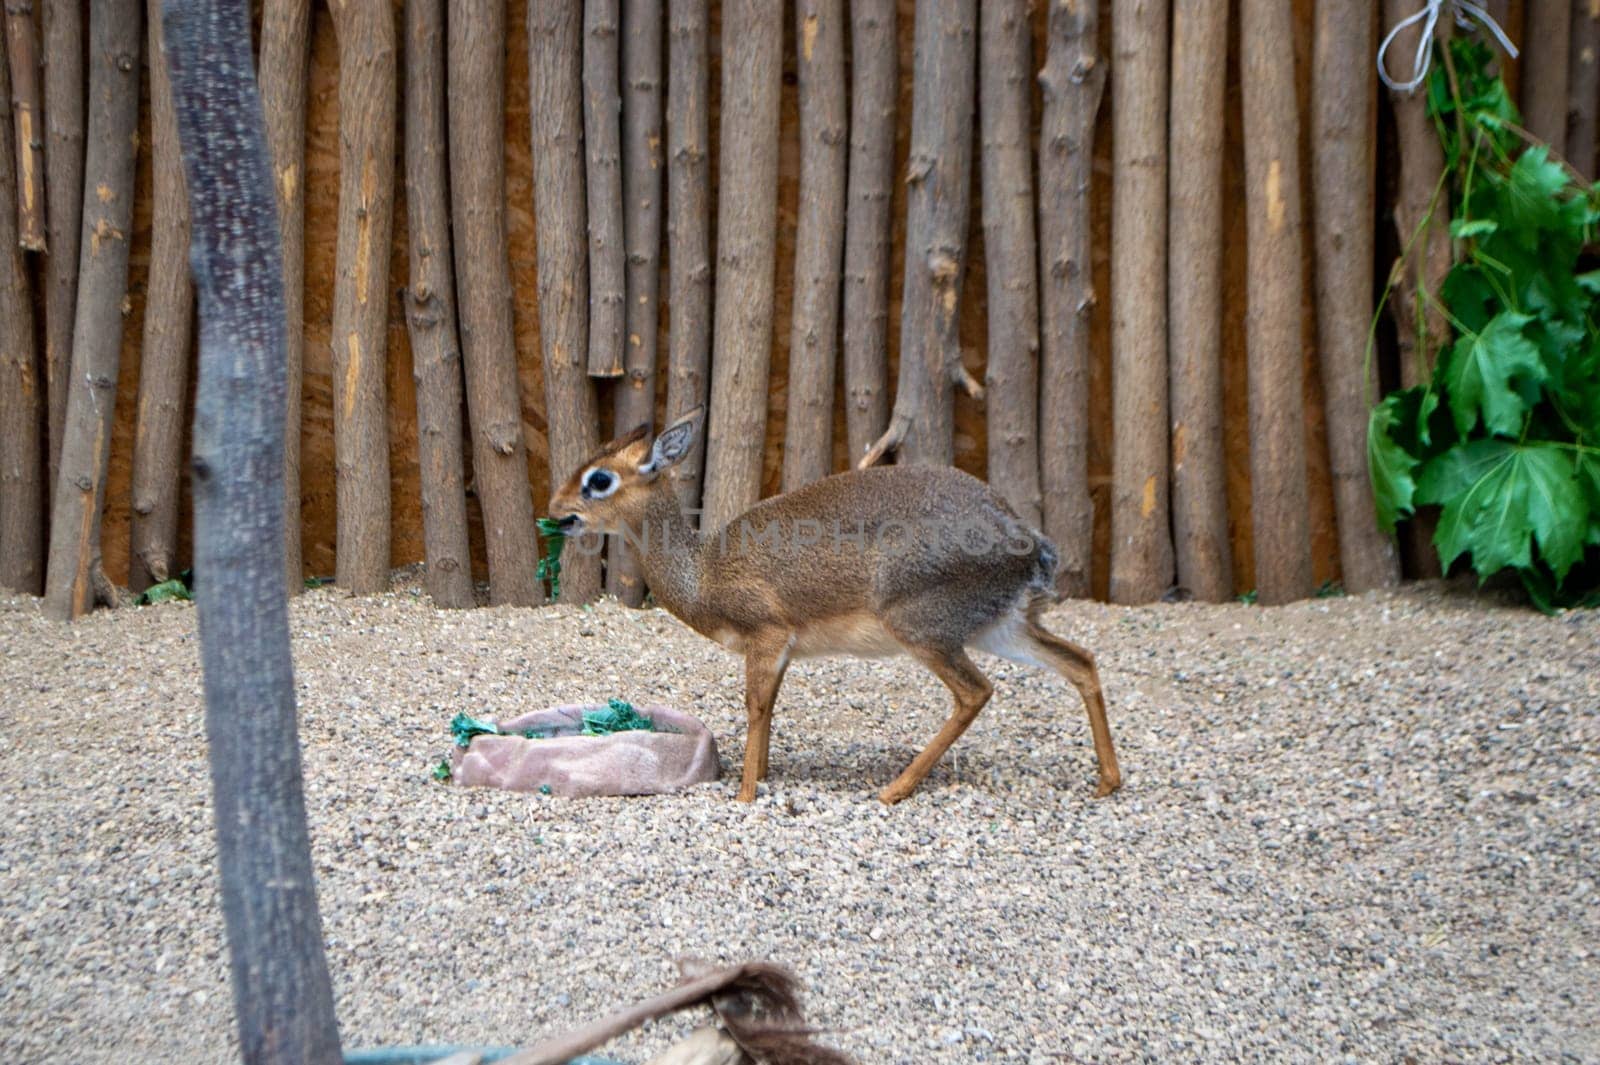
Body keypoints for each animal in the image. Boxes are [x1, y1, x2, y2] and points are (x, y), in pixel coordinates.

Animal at [553, 407, 1126, 805]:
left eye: (599, 478)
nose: (558, 511)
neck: (705, 571)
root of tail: (1026, 538)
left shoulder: (765, 637)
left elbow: (755, 707)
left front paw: (744, 794)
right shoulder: (783, 652)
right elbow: (771, 708)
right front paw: (761, 775)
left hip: (923, 630)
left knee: (975, 692)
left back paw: (894, 789)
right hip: (1001, 627)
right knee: (1080, 661)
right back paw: (1107, 782)